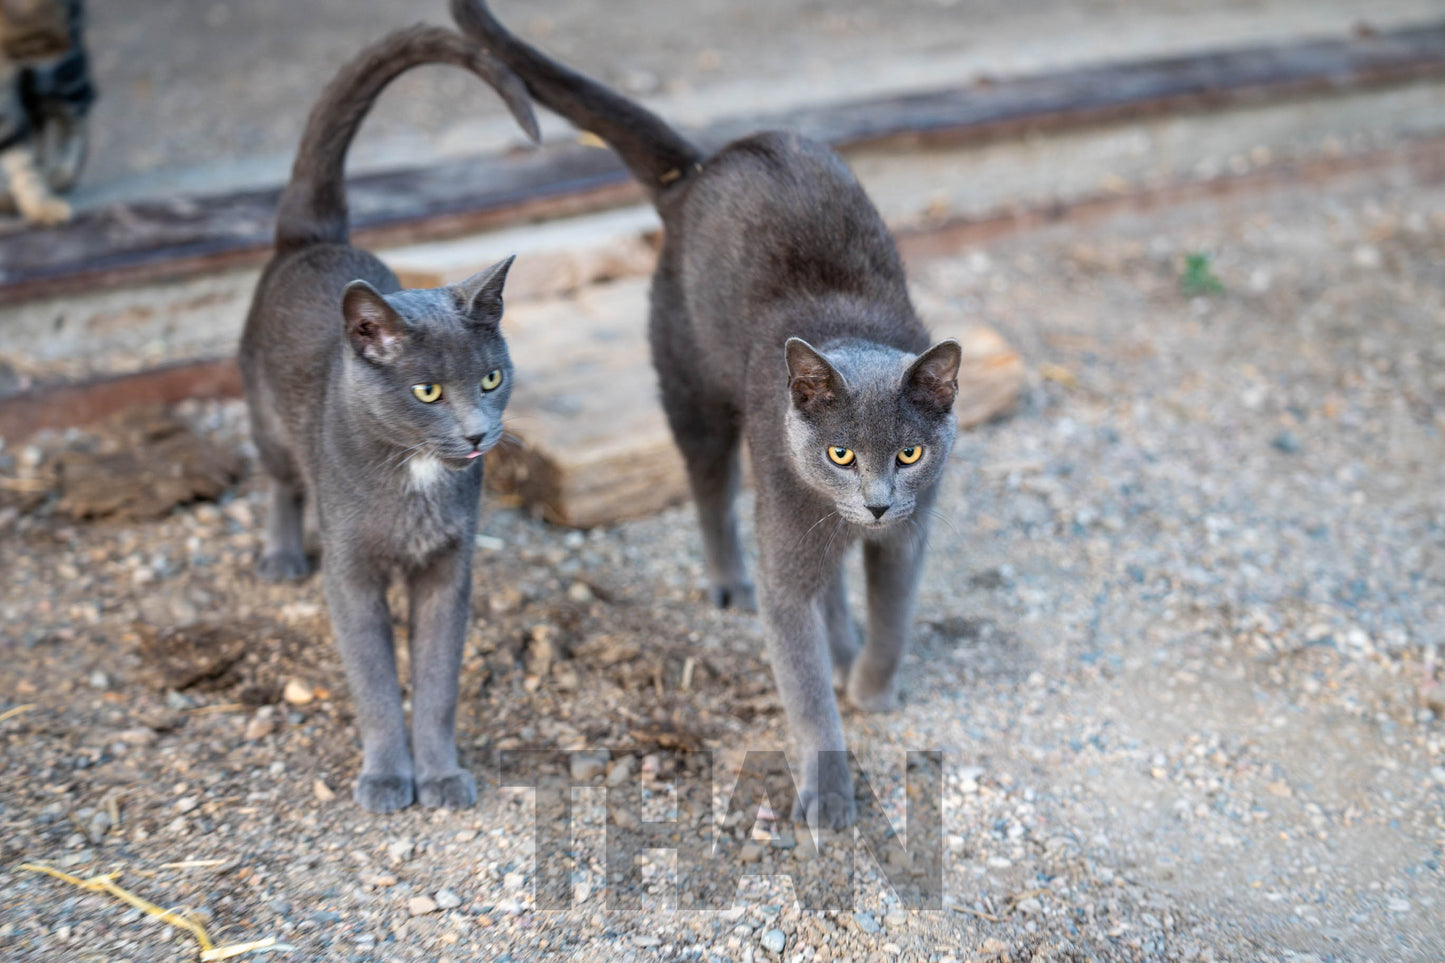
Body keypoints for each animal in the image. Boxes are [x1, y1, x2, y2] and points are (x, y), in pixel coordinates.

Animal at [239, 24, 540, 809]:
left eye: (491, 378)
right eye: (427, 392)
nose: (477, 432)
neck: (417, 476)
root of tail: (313, 239)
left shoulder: (448, 571)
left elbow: (435, 683)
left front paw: (439, 775)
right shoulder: (351, 576)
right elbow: (374, 681)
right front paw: (384, 776)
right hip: (267, 421)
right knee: (281, 482)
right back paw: (282, 556)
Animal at [456, 0, 965, 827]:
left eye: (910, 454)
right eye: (840, 454)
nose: (877, 502)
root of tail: (699, 167)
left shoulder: (908, 538)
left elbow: (893, 614)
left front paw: (872, 686)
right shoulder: (789, 539)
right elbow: (801, 676)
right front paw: (828, 787)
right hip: (690, 388)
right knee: (709, 487)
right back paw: (732, 583)